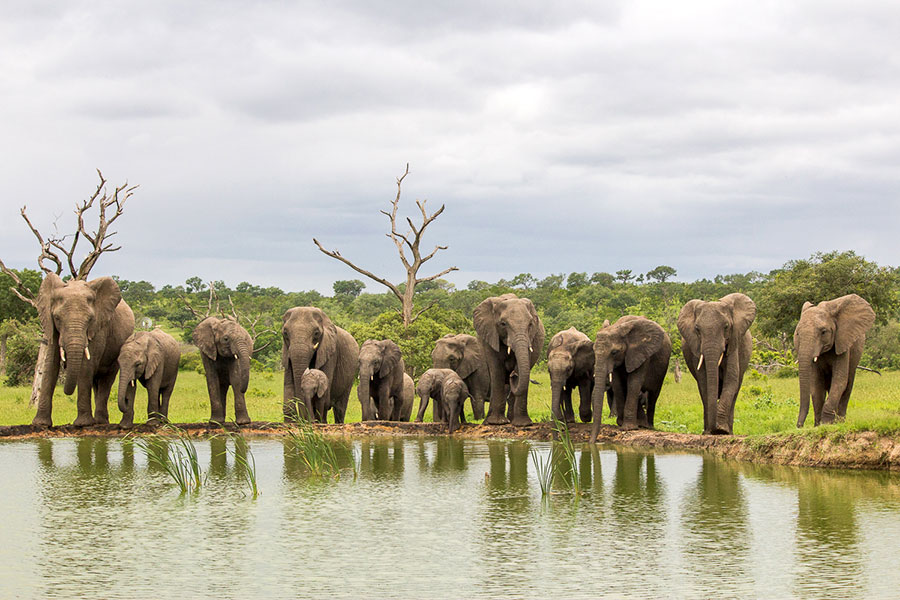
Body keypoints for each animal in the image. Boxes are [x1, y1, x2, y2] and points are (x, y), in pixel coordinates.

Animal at [32, 272, 135, 426]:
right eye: (57, 318)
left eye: (90, 319)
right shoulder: (51, 328)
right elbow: (50, 365)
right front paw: (40, 424)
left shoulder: (99, 328)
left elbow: (86, 366)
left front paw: (83, 424)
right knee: (96, 382)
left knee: (106, 380)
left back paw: (100, 422)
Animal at [474, 292, 544, 426]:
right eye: (503, 324)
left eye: (530, 324)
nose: (512, 375)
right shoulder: (491, 336)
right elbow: (497, 371)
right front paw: (495, 423)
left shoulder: (530, 338)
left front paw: (523, 424)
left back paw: (512, 420)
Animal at [680, 292, 756, 434]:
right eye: (697, 329)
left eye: (726, 326)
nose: (714, 429)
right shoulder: (696, 348)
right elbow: (704, 382)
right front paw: (710, 432)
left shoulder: (733, 342)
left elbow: (731, 379)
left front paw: (721, 430)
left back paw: (729, 432)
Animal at [796, 294, 872, 426]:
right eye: (797, 334)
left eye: (823, 332)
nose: (799, 426)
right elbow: (816, 386)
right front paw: (818, 425)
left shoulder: (843, 343)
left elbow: (839, 381)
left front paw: (826, 423)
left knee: (847, 386)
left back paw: (840, 422)